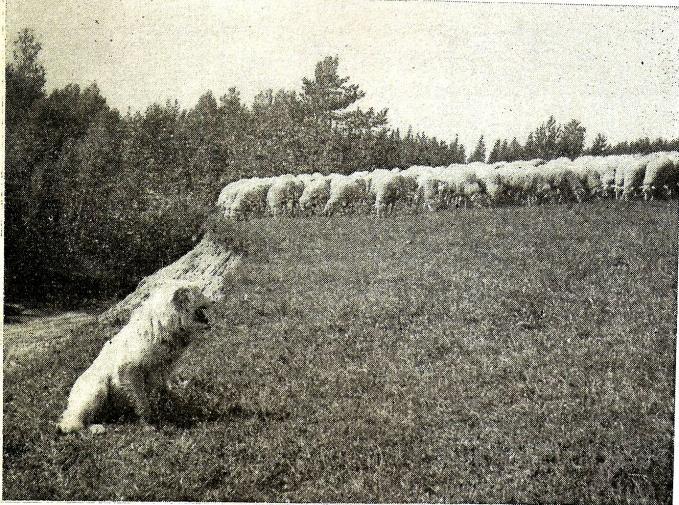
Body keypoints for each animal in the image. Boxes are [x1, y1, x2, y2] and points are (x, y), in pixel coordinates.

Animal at [57, 282, 212, 432]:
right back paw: (93, 427)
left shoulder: (162, 370)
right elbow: (142, 401)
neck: (162, 323)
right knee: (71, 421)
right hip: (96, 387)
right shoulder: (128, 370)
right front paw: (148, 424)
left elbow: (165, 392)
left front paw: (178, 411)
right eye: (200, 292)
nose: (213, 300)